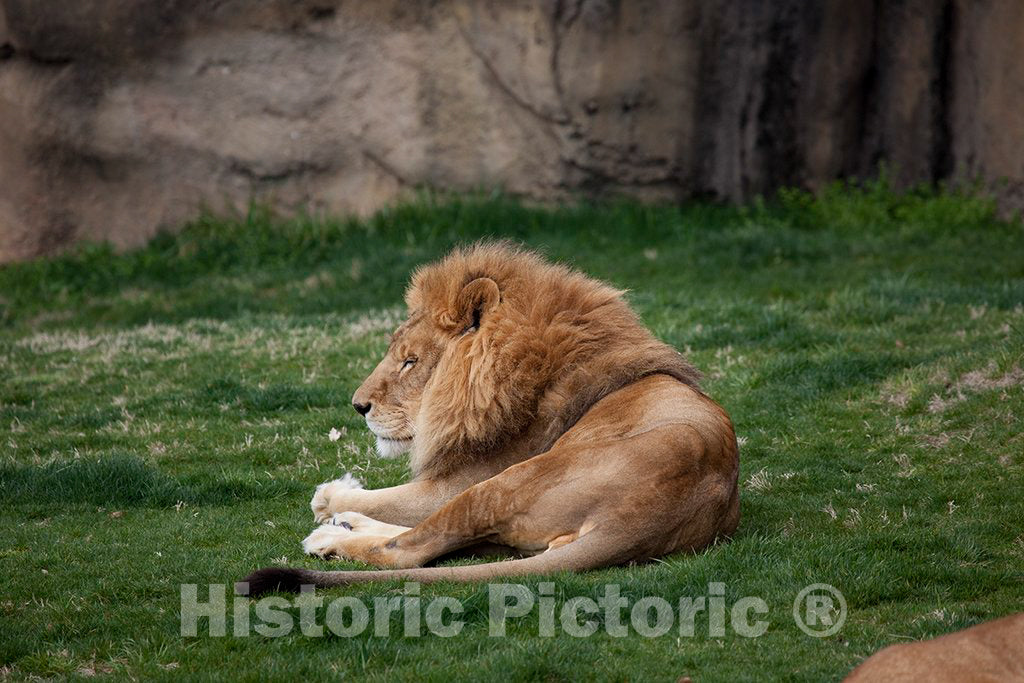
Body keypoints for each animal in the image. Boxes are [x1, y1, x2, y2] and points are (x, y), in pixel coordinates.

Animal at [239, 241, 737, 593]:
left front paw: (331, 496)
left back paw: (329, 539)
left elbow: (383, 501)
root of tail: (639, 521)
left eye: (410, 362)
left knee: (411, 549)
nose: (358, 406)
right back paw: (345, 527)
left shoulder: (461, 478)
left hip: (504, 483)